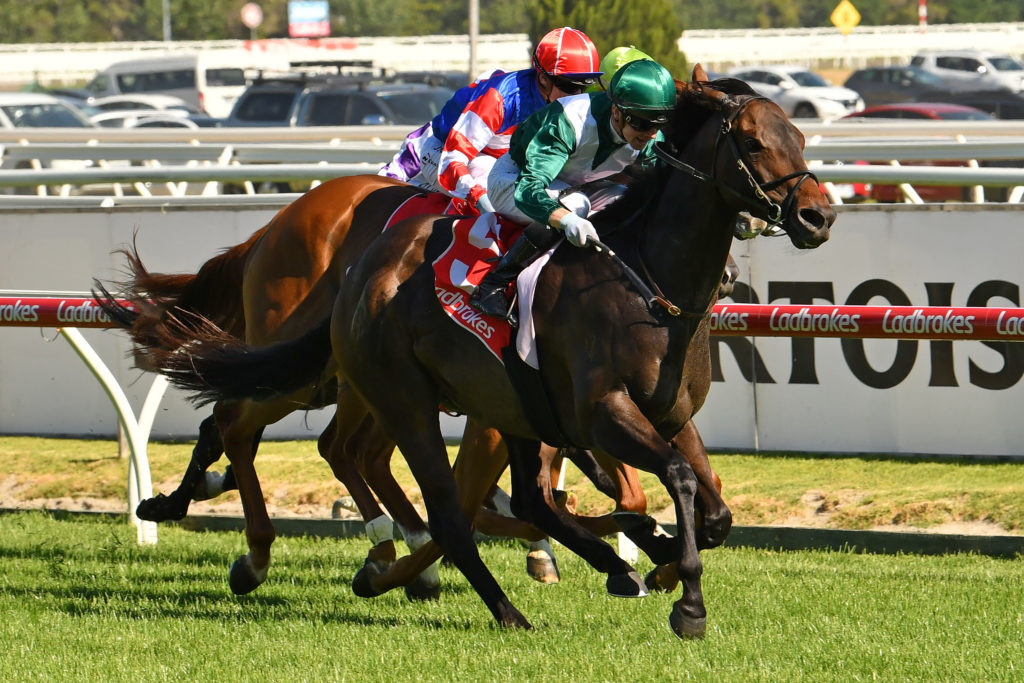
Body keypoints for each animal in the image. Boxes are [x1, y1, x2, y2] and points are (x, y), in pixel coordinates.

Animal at [145, 64, 834, 637]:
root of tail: (357, 269)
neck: (647, 280)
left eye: (800, 135)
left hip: (494, 406)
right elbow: (677, 481)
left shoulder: (666, 414)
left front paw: (659, 558)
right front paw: (686, 600)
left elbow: (709, 507)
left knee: (474, 488)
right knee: (421, 501)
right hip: (395, 397)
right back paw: (491, 606)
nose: (818, 216)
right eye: (752, 143)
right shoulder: (601, 412)